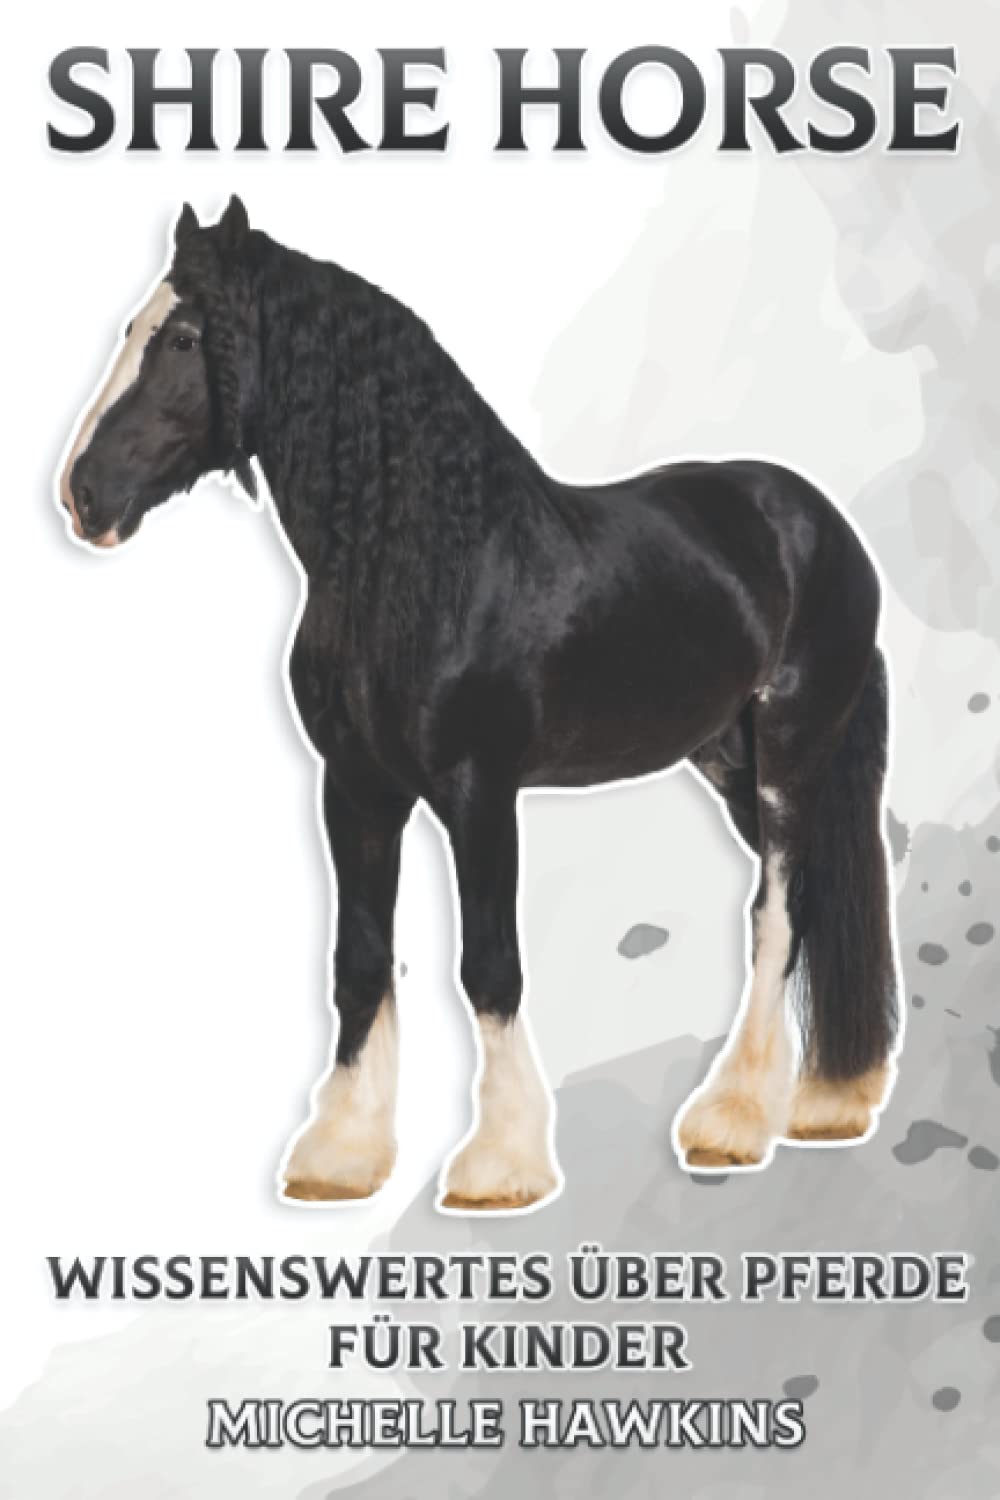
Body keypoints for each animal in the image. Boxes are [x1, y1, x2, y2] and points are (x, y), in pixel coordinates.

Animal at [57, 197, 900, 1213]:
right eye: (131, 331)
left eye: (183, 337)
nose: (83, 493)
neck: (426, 563)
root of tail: (820, 522)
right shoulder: (356, 789)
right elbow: (360, 961)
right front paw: (340, 1156)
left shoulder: (480, 793)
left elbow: (489, 965)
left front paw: (501, 1164)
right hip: (731, 763)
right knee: (812, 899)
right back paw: (827, 1104)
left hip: (791, 752)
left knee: (778, 916)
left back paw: (731, 1121)